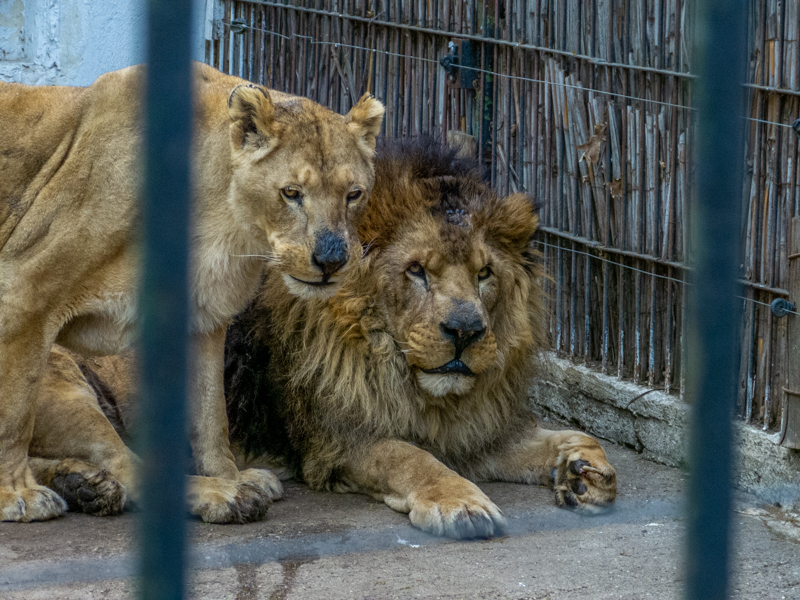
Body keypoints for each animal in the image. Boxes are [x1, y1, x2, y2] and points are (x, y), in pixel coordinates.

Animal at [0, 62, 384, 522]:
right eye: (292, 193)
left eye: (354, 194)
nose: (330, 261)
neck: (226, 223)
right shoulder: (24, 288)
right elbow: (13, 416)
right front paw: (14, 495)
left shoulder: (203, 320)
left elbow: (211, 416)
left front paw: (228, 475)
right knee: (123, 462)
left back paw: (90, 484)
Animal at [30, 139, 615, 537]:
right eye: (417, 271)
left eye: (485, 274)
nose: (466, 332)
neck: (407, 380)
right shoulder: (338, 440)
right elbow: (412, 458)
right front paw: (461, 503)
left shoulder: (475, 432)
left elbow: (575, 435)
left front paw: (583, 471)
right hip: (69, 390)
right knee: (124, 463)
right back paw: (231, 493)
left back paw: (84, 487)